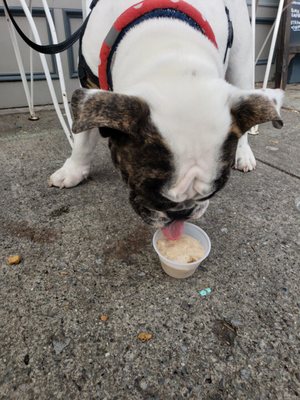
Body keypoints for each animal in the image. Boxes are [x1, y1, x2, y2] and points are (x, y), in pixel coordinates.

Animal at [49, 0, 284, 228]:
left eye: (211, 193)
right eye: (149, 192)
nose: (182, 213)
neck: (170, 53)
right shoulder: (91, 88)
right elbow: (83, 138)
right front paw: (72, 171)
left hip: (240, 63)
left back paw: (243, 154)